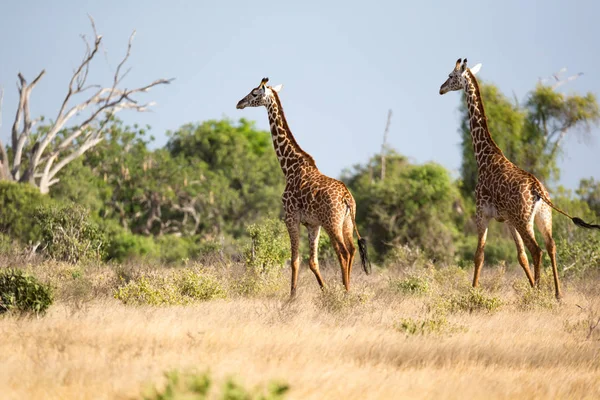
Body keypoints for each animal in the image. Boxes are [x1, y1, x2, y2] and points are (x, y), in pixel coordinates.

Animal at [236, 78, 370, 296]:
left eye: (255, 93)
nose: (239, 103)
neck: (289, 167)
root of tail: (346, 198)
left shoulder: (290, 217)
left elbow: (294, 260)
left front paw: (291, 296)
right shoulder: (312, 224)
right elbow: (312, 262)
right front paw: (324, 291)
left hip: (332, 223)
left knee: (342, 251)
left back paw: (345, 290)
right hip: (347, 223)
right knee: (352, 250)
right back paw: (346, 289)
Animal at [438, 57, 596, 298]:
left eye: (451, 75)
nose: (441, 88)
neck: (484, 155)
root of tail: (539, 191)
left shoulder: (481, 213)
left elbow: (479, 255)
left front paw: (473, 291)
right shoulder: (507, 220)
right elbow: (520, 257)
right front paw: (530, 285)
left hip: (524, 219)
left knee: (537, 250)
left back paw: (539, 294)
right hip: (542, 216)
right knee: (551, 246)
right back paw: (557, 294)